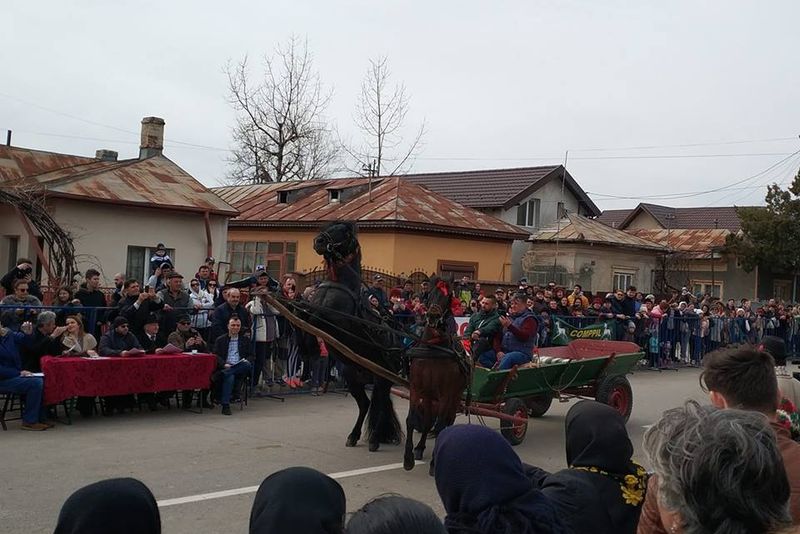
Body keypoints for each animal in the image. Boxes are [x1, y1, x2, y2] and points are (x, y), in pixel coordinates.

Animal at [301, 221, 404, 452]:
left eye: (345, 232)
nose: (318, 241)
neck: (338, 286)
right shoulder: (310, 308)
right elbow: (303, 318)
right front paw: (308, 349)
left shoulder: (333, 320)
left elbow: (316, 319)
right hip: (352, 377)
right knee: (366, 404)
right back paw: (354, 436)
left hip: (382, 378)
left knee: (380, 403)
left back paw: (375, 439)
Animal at [403, 282, 469, 472]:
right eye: (430, 292)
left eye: (448, 296)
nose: (432, 315)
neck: (432, 350)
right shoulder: (416, 388)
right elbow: (412, 420)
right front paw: (408, 458)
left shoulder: (446, 394)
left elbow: (440, 425)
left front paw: (434, 463)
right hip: (429, 396)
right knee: (427, 421)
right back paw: (420, 447)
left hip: (454, 396)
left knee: (448, 420)